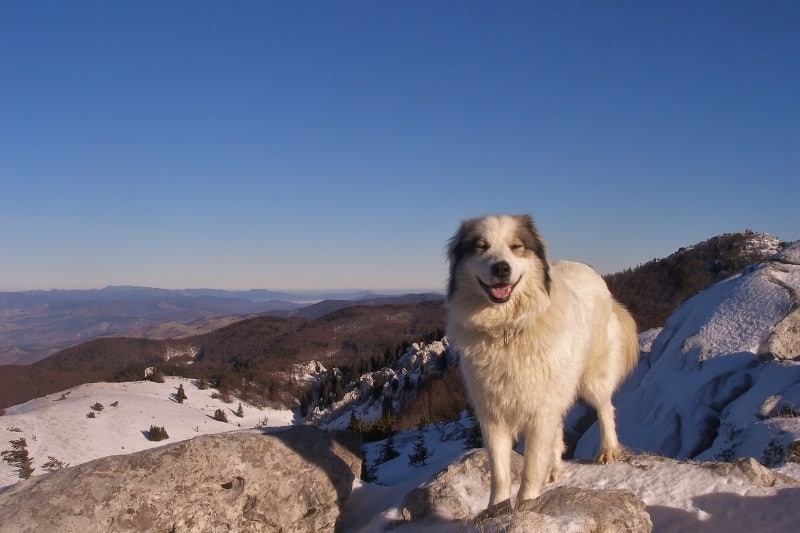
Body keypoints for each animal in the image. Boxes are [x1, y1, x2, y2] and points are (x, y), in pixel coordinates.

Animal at [444, 212, 636, 512]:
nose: (501, 268)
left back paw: (607, 450)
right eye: (480, 246)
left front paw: (526, 504)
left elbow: (531, 466)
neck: (507, 330)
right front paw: (496, 510)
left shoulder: (540, 409)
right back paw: (554, 468)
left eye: (516, 247)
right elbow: (499, 470)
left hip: (591, 378)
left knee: (605, 408)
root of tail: (590, 270)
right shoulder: (492, 413)